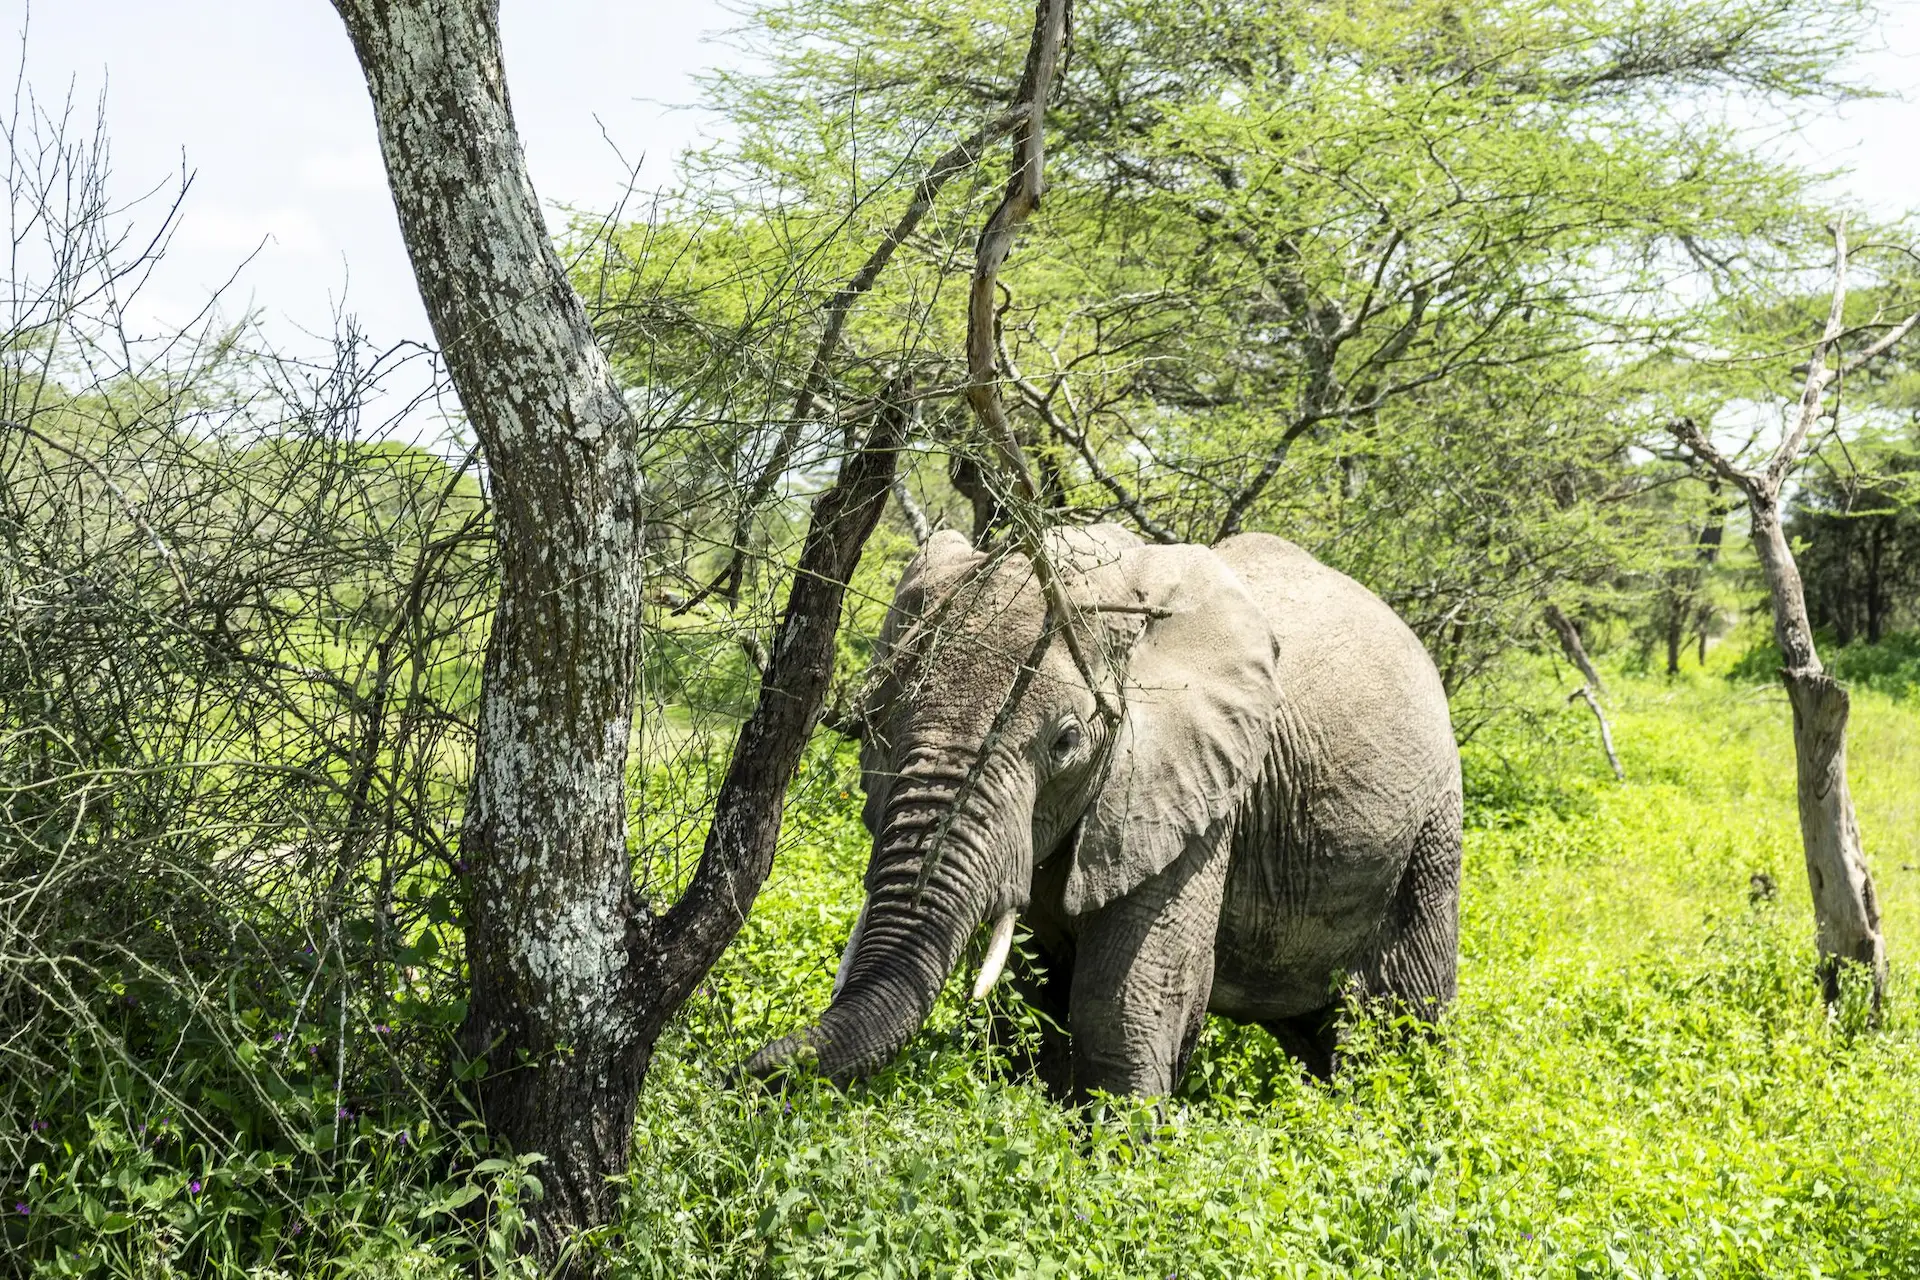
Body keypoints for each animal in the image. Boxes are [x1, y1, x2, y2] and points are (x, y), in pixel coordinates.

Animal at [746, 523, 1461, 1098]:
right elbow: (1032, 996)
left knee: (1397, 1024)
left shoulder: (1197, 789)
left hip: (1430, 833)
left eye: (1065, 741)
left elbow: (1124, 996)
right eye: (876, 723)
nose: (740, 1073)